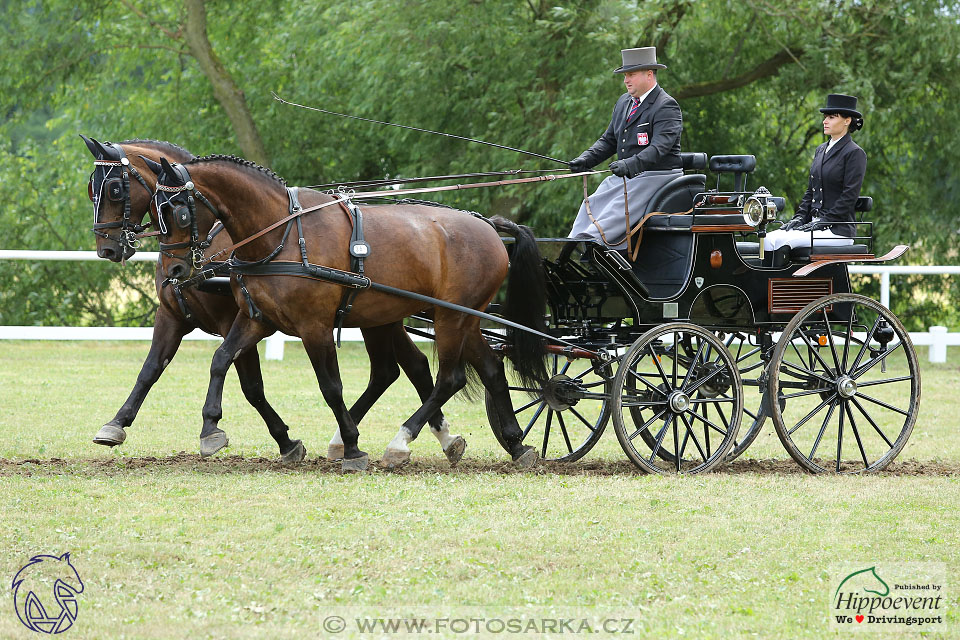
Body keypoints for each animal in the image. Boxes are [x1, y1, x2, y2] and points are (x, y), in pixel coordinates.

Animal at [80, 138, 464, 462]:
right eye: (91, 190)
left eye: (114, 189)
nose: (107, 249)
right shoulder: (173, 317)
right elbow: (150, 370)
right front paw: (115, 425)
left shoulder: (234, 320)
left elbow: (250, 385)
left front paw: (276, 439)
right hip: (379, 316)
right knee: (404, 368)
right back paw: (434, 436)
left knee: (411, 368)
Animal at [150, 155, 548, 470]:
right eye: (156, 213)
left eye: (179, 211)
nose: (173, 271)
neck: (282, 234)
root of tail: (488, 225)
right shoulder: (256, 319)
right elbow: (221, 359)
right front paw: (210, 429)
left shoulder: (315, 327)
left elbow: (331, 387)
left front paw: (354, 448)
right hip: (462, 318)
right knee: (490, 369)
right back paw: (516, 443)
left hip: (450, 318)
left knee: (449, 378)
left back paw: (400, 441)